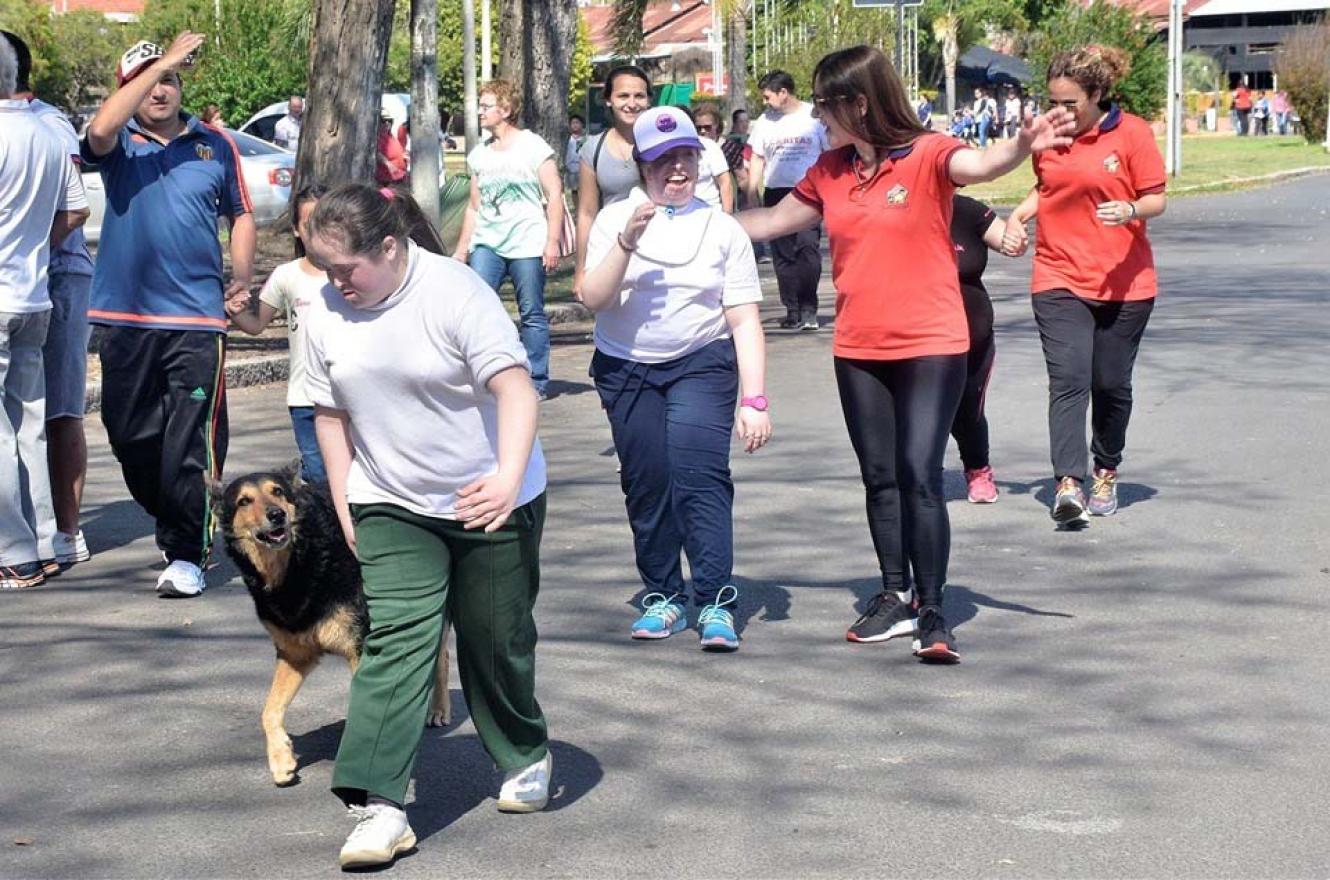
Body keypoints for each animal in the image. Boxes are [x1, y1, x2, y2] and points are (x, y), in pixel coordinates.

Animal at [208, 465, 452, 786]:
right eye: (244, 501)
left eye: (277, 492)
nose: (276, 515)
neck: (297, 563)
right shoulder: (296, 654)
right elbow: (269, 711)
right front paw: (281, 759)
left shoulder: (361, 647)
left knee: (443, 655)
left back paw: (439, 710)